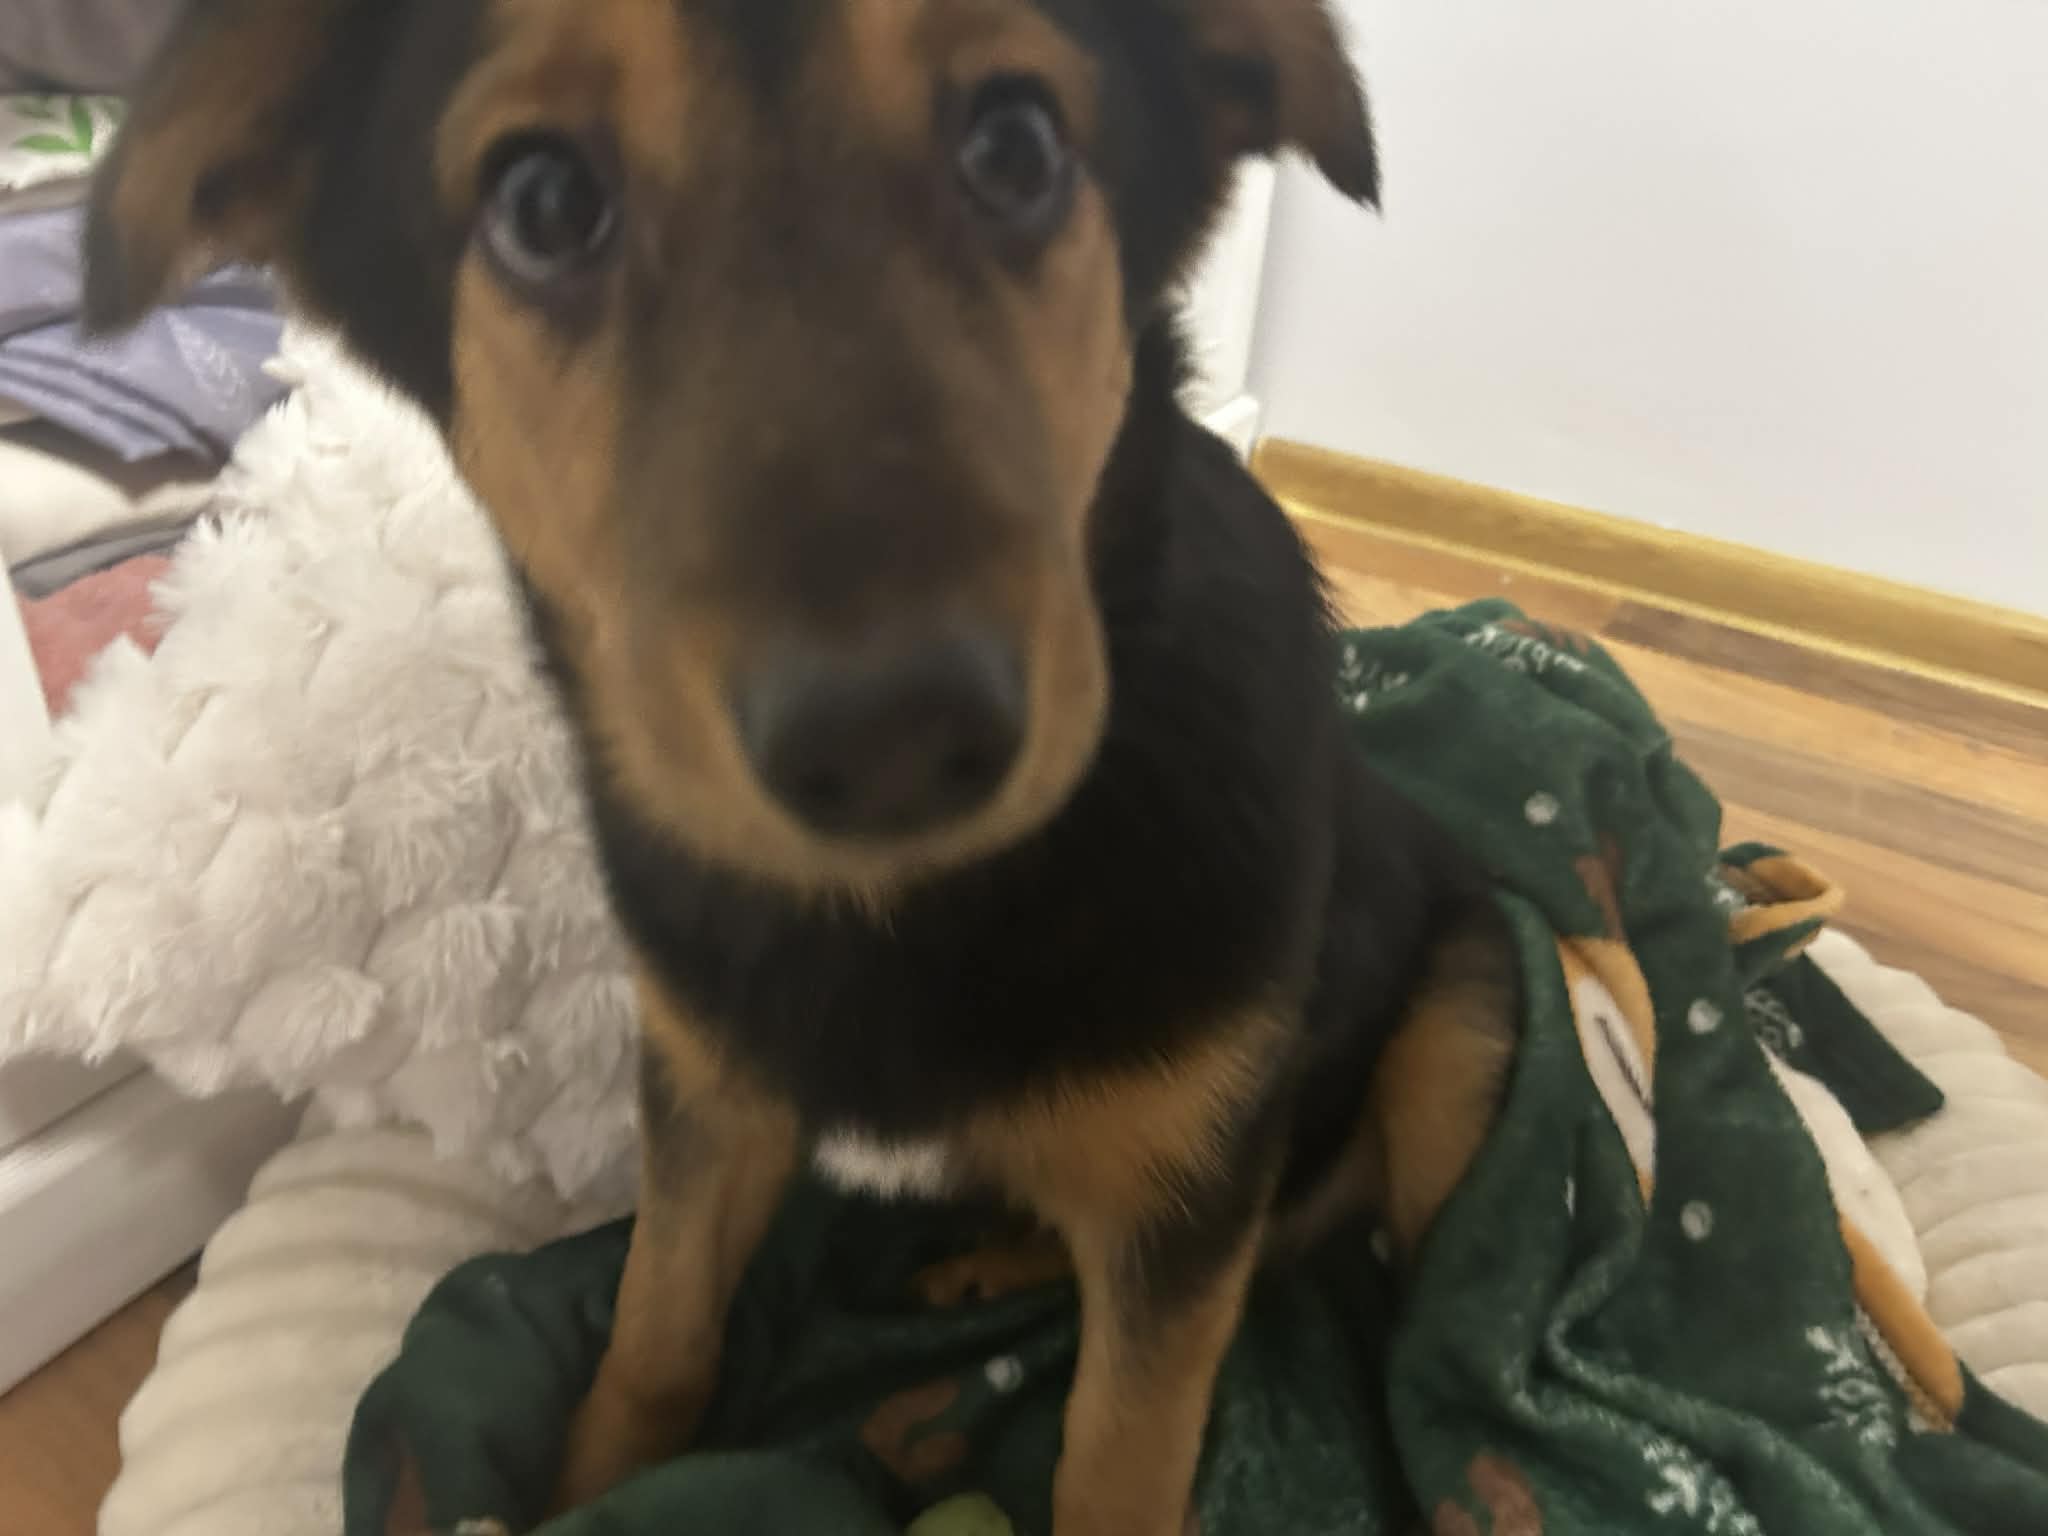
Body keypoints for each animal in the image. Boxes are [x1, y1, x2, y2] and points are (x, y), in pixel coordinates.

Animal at [86, 3, 1520, 1532]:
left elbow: (1117, 1457)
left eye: (1018, 149)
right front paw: (589, 1485)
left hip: (1464, 1009)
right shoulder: (706, 1095)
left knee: (1413, 1269)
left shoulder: (1184, 1195)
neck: (902, 913)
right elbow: (656, 1332)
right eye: (542, 206)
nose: (895, 744)